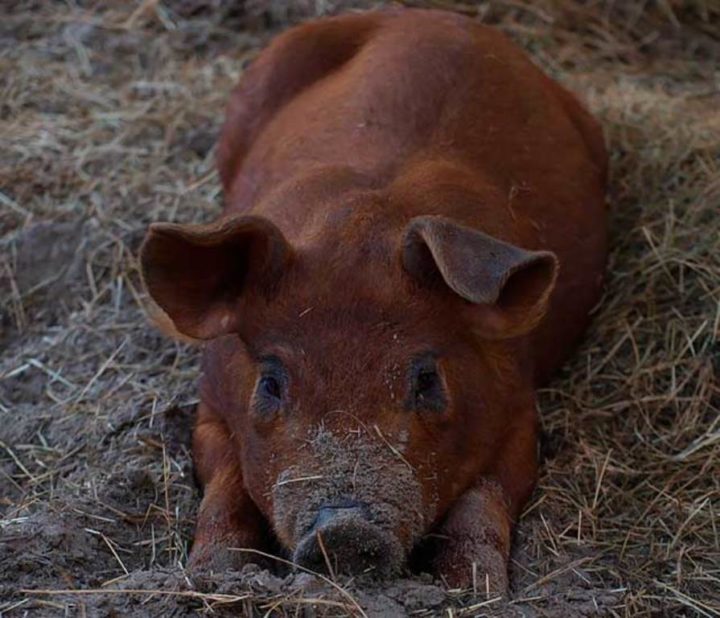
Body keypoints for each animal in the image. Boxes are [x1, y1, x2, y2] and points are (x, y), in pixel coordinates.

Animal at [139, 8, 608, 588]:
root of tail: (431, 16)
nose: (344, 531)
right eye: (270, 382)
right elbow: (225, 485)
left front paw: (471, 587)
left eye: (425, 378)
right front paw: (213, 575)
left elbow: (485, 498)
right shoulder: (210, 405)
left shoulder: (520, 408)